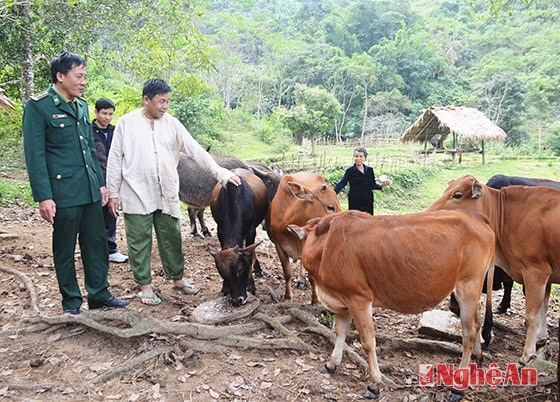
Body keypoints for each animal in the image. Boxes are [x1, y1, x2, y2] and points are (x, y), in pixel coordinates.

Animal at [264, 171, 340, 304]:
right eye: (330, 207)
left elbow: (312, 277)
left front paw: (315, 300)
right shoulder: (278, 245)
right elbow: (287, 273)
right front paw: (288, 296)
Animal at [288, 209, 494, 400]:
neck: (326, 245)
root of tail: (475, 215)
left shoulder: (358, 298)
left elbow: (368, 341)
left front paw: (374, 384)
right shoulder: (343, 299)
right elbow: (340, 332)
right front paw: (331, 364)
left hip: (468, 285)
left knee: (468, 332)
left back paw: (458, 387)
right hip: (471, 291)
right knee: (477, 324)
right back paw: (477, 358)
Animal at [426, 174, 560, 366]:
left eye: (457, 195)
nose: (429, 211)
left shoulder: (536, 271)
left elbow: (532, 315)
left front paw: (527, 354)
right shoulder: (547, 274)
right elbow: (543, 307)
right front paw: (541, 339)